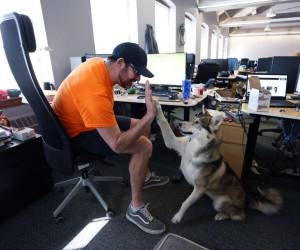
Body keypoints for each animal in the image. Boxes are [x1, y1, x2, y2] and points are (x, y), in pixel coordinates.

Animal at [155, 101, 284, 223]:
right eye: (193, 118)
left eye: (197, 122)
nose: (179, 124)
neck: (195, 147)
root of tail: (246, 200)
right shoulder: (173, 143)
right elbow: (164, 123)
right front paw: (156, 104)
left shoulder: (199, 188)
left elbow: (186, 203)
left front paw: (178, 217)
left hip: (220, 203)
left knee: (239, 216)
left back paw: (222, 216)